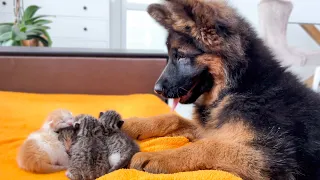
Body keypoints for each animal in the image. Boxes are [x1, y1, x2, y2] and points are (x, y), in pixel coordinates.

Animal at [121, 0, 320, 179]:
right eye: (170, 56)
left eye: (181, 56)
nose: (157, 90)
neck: (239, 87)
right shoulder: (210, 129)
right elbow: (173, 119)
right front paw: (129, 124)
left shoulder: (275, 157)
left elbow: (210, 146)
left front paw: (157, 156)